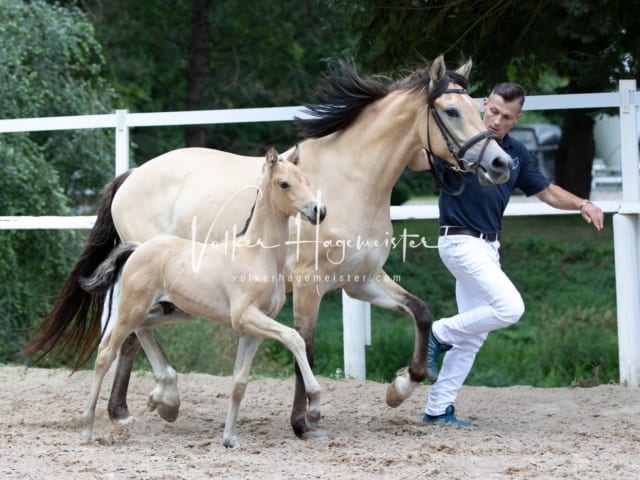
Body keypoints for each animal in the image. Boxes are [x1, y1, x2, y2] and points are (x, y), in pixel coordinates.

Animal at [80, 146, 328, 446]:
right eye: (284, 183)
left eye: (306, 180)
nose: (318, 210)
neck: (256, 255)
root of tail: (138, 248)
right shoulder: (244, 316)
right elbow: (294, 338)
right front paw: (314, 406)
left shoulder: (253, 328)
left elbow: (239, 383)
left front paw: (230, 438)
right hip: (132, 308)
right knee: (105, 354)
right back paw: (87, 428)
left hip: (166, 311)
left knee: (141, 331)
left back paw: (163, 398)